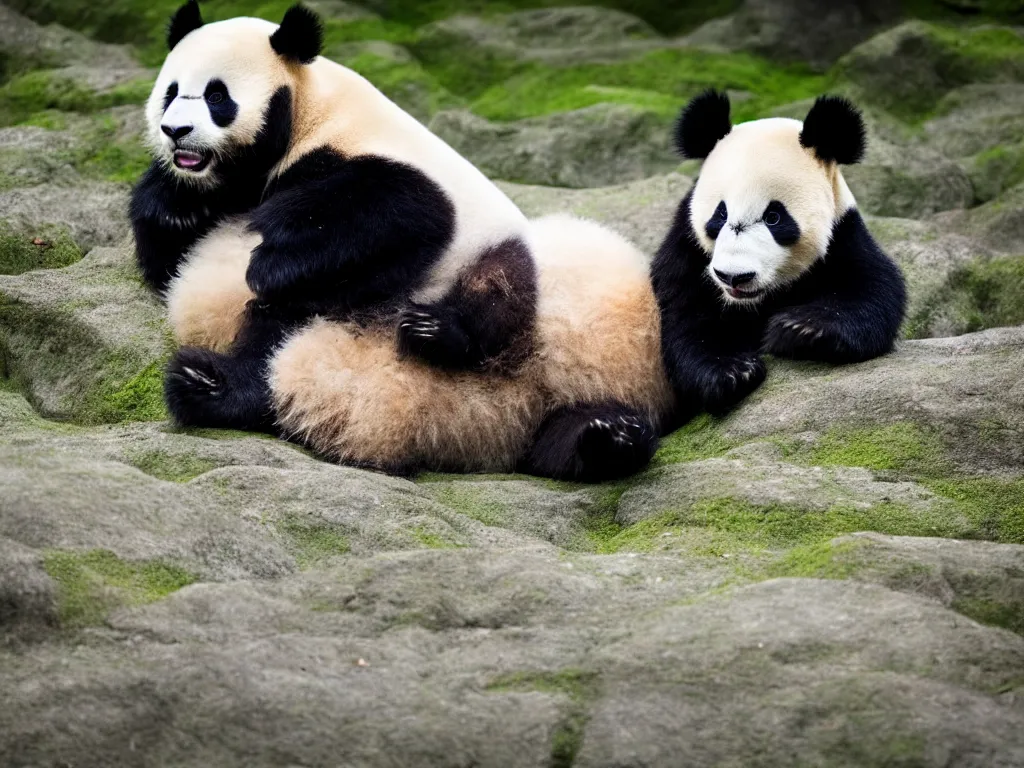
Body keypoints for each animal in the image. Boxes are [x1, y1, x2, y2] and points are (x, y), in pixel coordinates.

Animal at [134, 0, 544, 434]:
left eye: (216, 96)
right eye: (171, 93)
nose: (175, 130)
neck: (309, 108)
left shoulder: (374, 158)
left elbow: (400, 216)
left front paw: (270, 262)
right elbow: (168, 262)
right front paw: (175, 212)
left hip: (481, 258)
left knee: (494, 297)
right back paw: (206, 386)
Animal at [651, 89, 909, 415]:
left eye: (773, 217)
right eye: (720, 214)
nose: (733, 276)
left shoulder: (843, 234)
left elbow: (872, 291)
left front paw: (799, 329)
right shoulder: (687, 252)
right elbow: (687, 319)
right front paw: (732, 372)